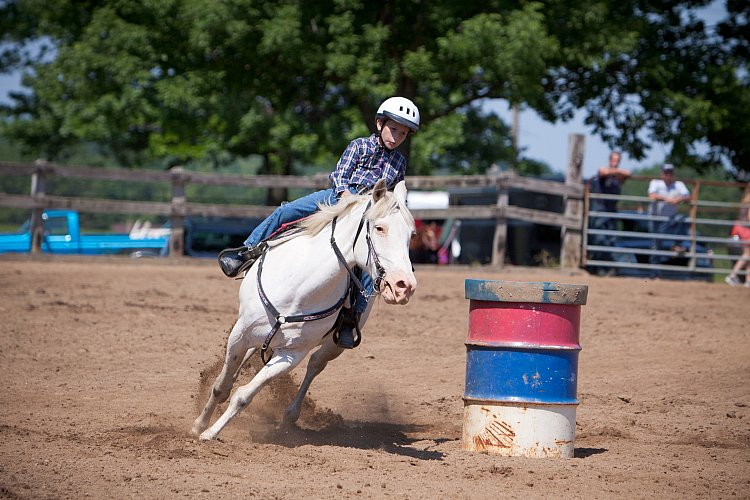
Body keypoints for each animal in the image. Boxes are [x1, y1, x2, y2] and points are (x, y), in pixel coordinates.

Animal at [192, 178, 418, 440]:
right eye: (380, 228)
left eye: (411, 234)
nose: (404, 286)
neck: (299, 287)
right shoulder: (241, 333)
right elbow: (222, 386)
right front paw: (199, 425)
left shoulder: (292, 354)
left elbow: (243, 396)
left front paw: (210, 433)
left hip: (333, 344)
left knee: (315, 365)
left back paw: (290, 416)